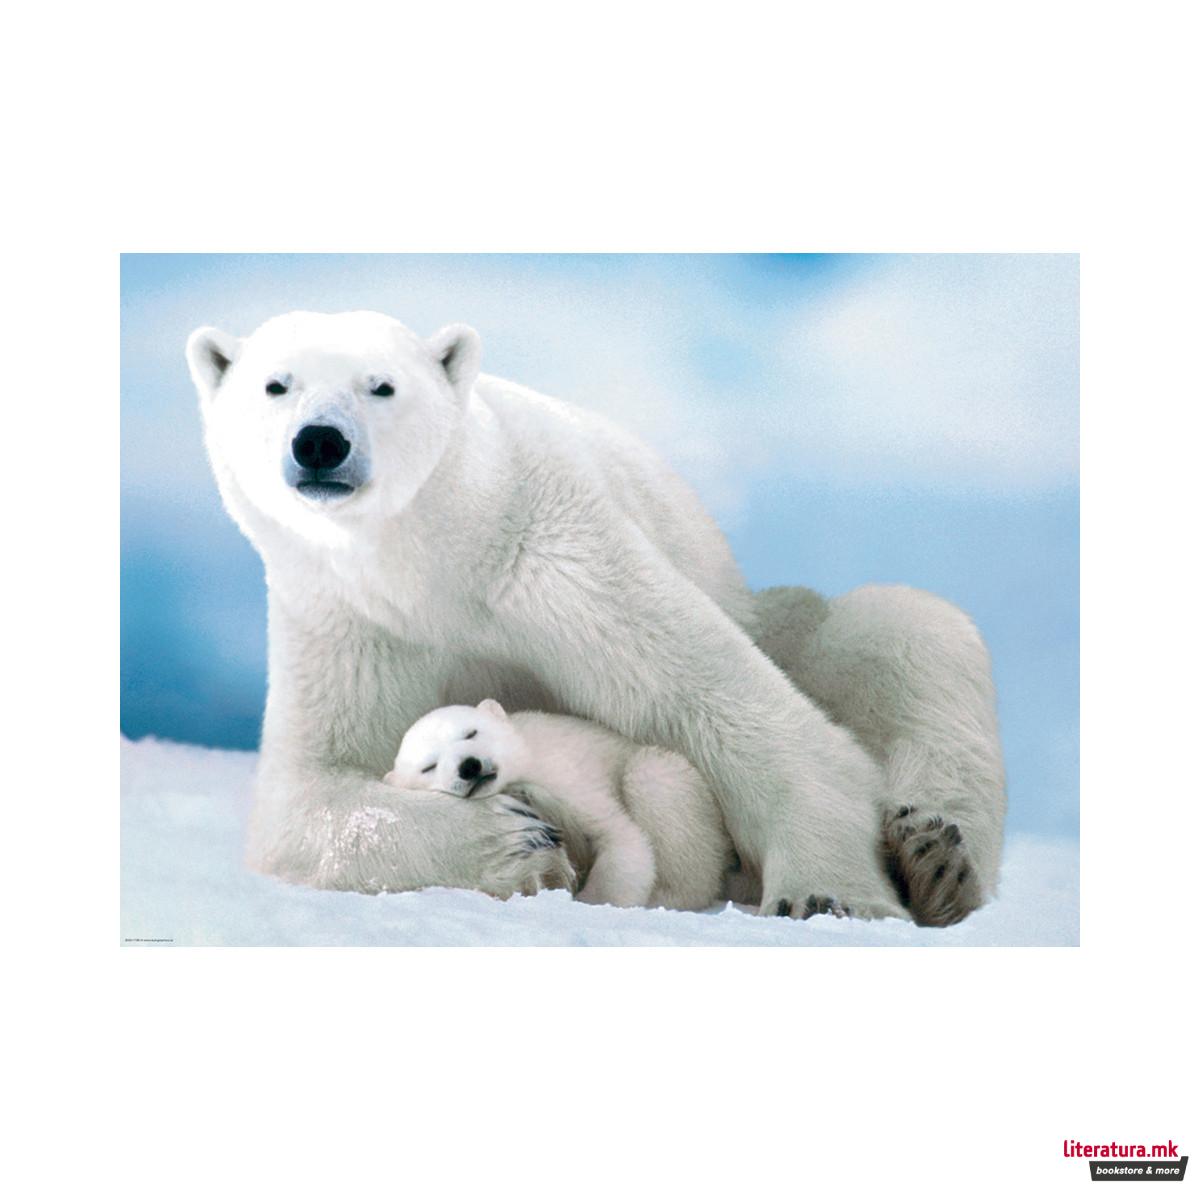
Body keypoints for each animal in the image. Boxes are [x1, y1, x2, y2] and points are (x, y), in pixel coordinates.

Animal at [385, 699, 734, 911]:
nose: (469, 766)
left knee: (653, 775)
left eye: (471, 732)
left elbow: (619, 836)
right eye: (429, 766)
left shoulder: (562, 775)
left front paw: (594, 902)